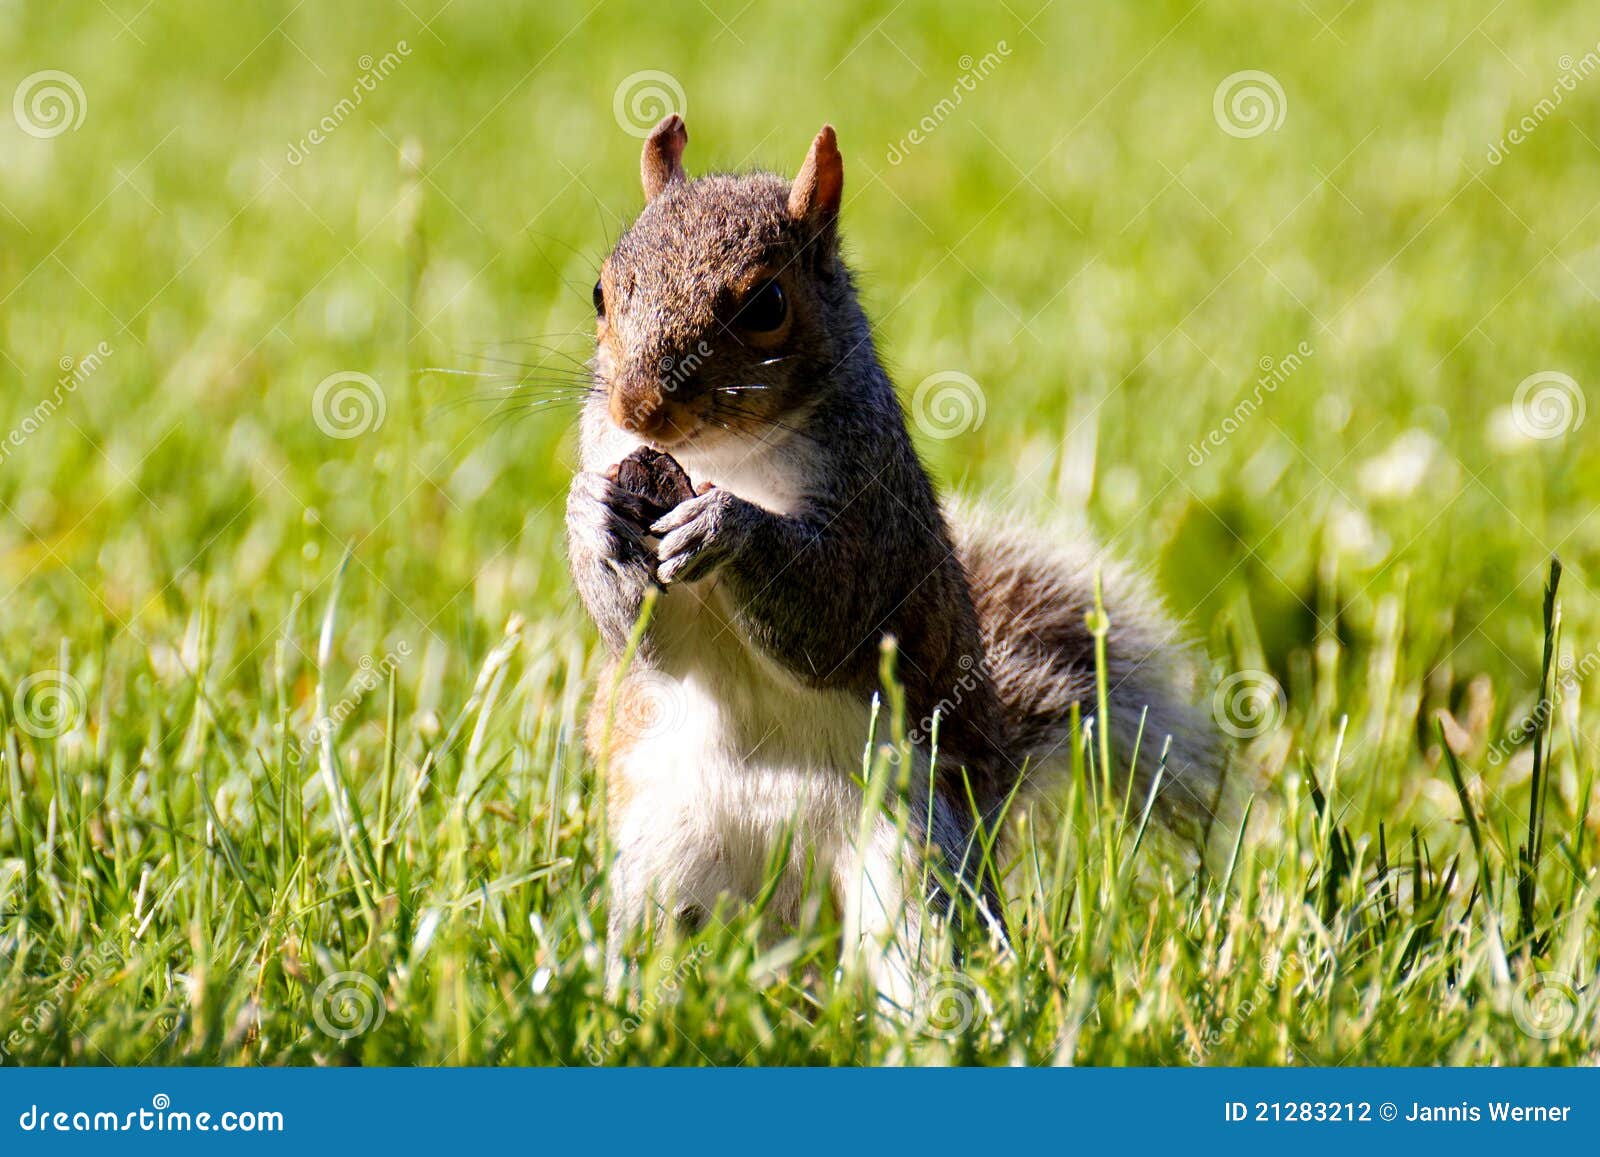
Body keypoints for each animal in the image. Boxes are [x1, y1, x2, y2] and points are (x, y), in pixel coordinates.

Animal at [566, 116, 1223, 992]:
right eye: (602, 293)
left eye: (767, 304)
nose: (638, 407)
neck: (719, 456)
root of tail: (790, 897)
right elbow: (644, 639)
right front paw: (590, 513)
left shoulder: (876, 526)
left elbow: (829, 614)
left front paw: (727, 525)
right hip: (660, 859)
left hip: (913, 856)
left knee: (918, 957)